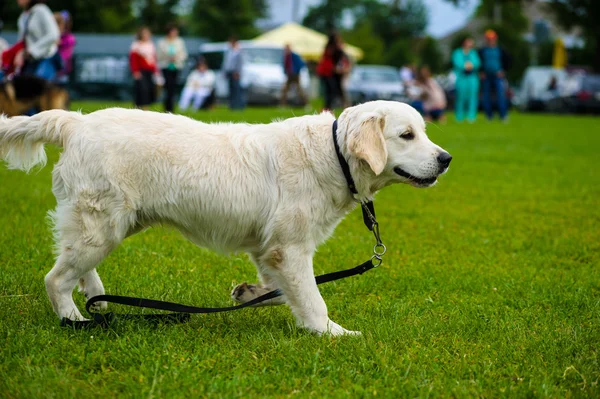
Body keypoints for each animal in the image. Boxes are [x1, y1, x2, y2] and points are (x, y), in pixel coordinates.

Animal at [0, 101, 450, 336]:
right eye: (407, 135)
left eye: (424, 132)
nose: (446, 159)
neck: (332, 154)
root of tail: (75, 122)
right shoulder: (290, 248)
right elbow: (313, 299)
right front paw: (333, 333)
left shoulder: (269, 249)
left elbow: (280, 290)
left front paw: (249, 293)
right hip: (100, 226)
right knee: (55, 279)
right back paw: (74, 319)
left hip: (108, 225)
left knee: (77, 269)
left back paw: (99, 303)